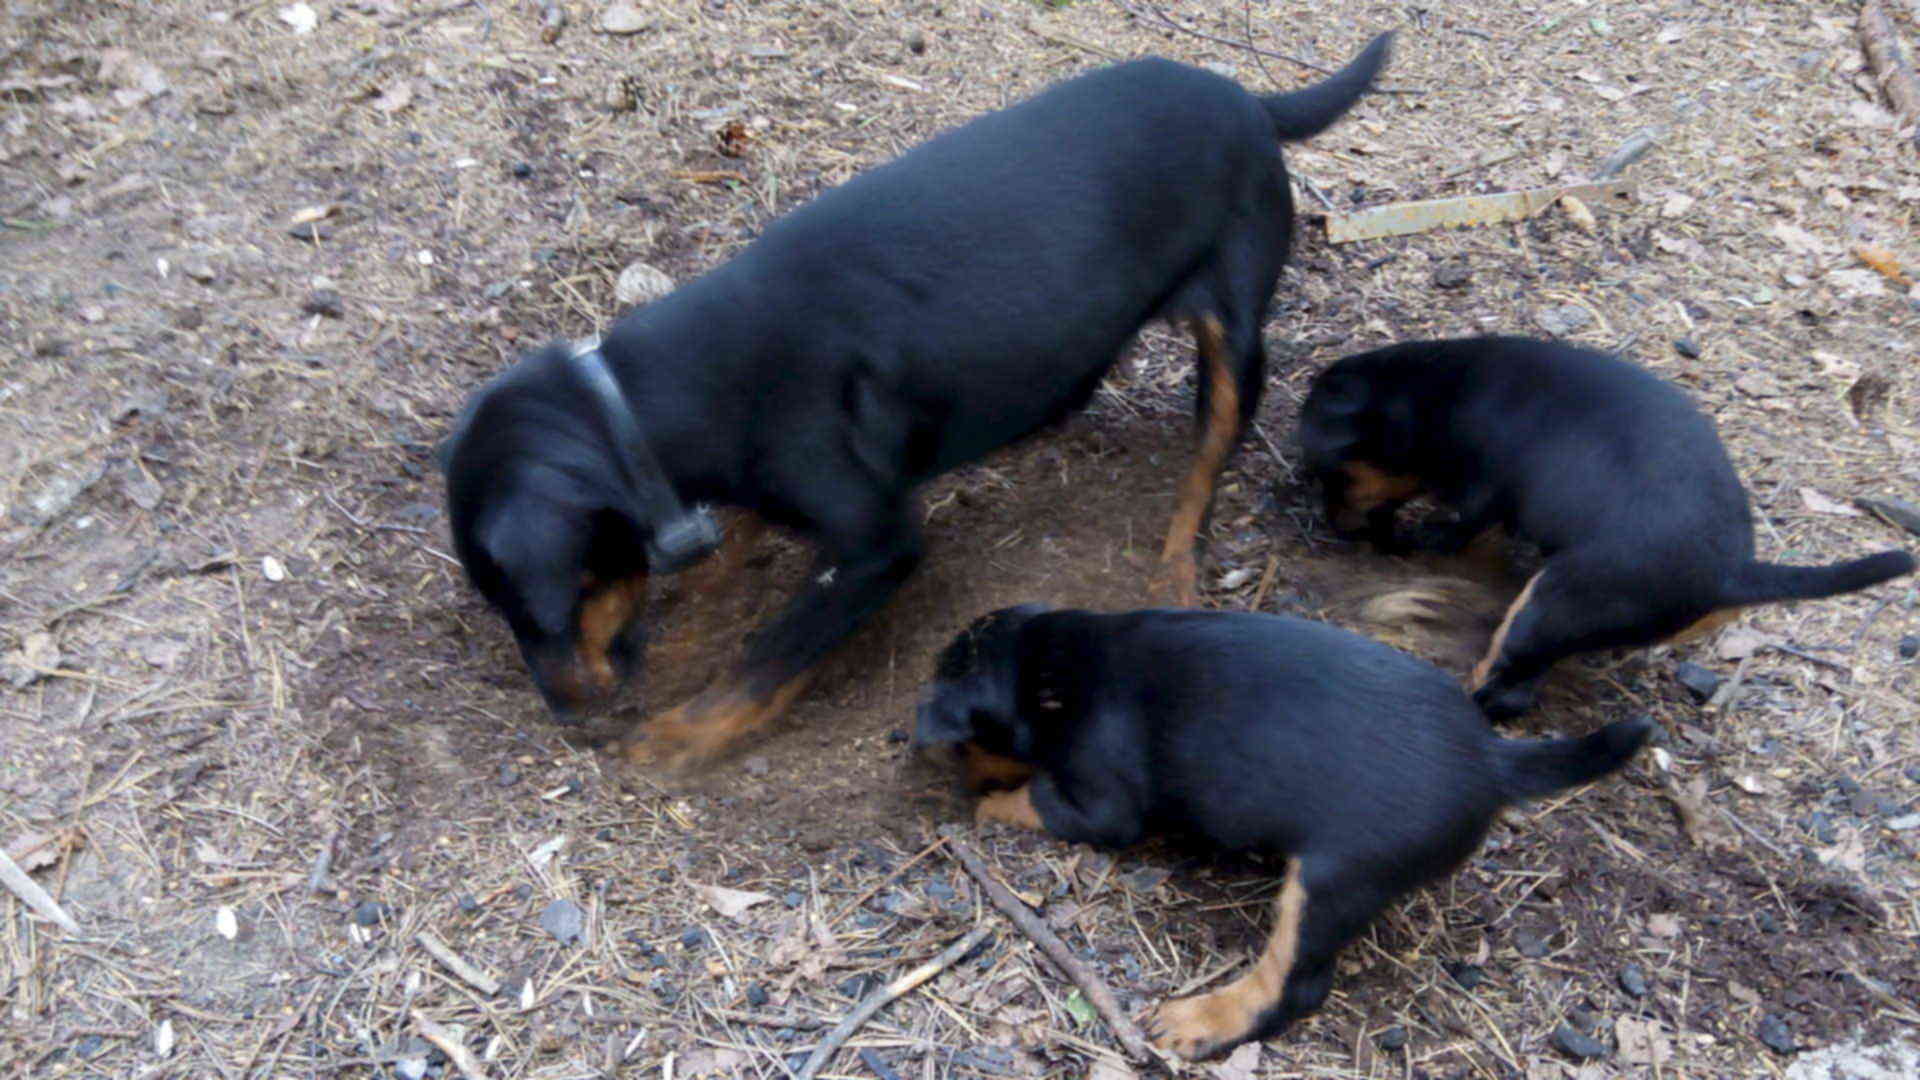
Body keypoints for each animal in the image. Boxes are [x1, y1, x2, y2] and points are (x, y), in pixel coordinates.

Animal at [439, 31, 1390, 764]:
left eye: (539, 606)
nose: (562, 713)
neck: (636, 404)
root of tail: (1250, 99)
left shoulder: (878, 545)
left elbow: (775, 650)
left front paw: (681, 737)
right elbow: (735, 548)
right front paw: (692, 621)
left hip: (1234, 327)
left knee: (1207, 460)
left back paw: (1175, 564)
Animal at [913, 599, 1651, 1053]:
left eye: (965, 744)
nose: (950, 772)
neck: (1055, 665)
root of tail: (1493, 759)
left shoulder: (1102, 806)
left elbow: (1033, 798)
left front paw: (986, 802)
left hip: (1333, 881)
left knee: (1293, 986)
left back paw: (1204, 1019)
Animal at [1297, 334, 1912, 722]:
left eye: (1334, 475)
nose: (1333, 528)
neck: (1440, 393)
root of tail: (1733, 571)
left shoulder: (1485, 489)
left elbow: (1458, 526)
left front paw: (1412, 540)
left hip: (1551, 603)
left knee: (1505, 684)